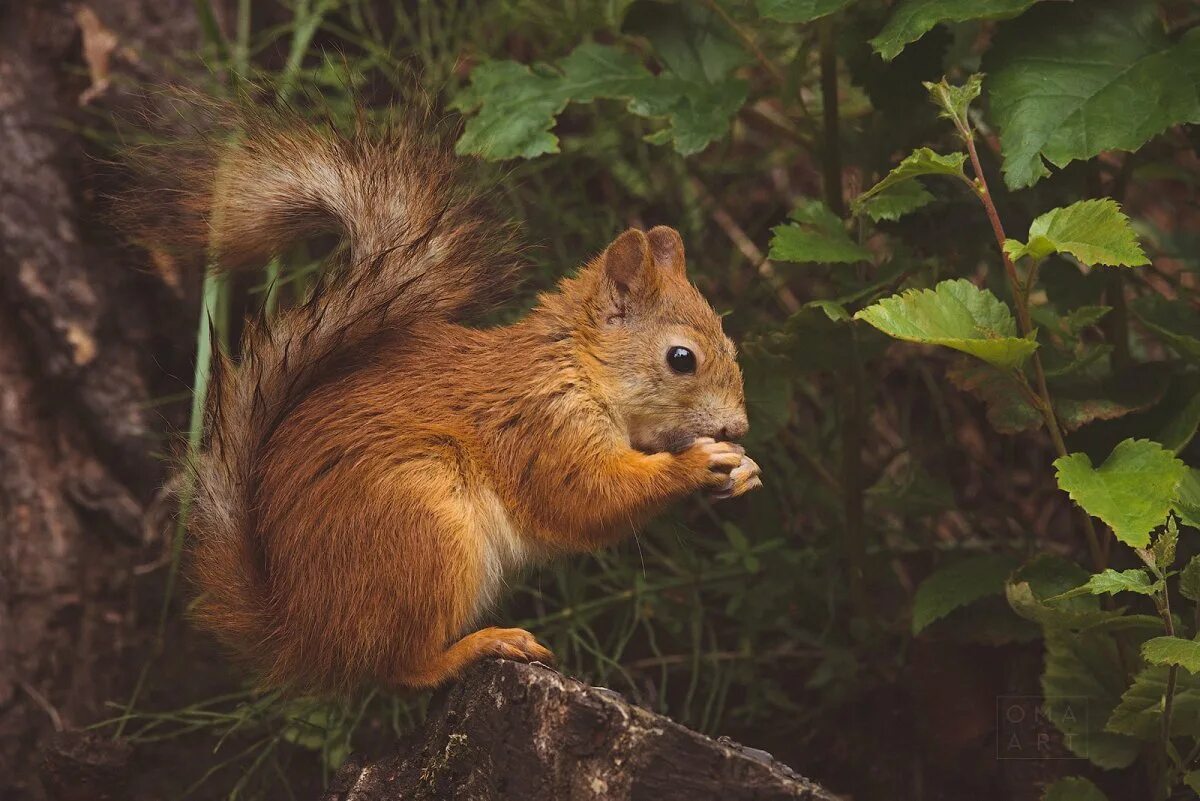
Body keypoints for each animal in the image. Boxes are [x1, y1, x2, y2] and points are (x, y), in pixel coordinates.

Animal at [157, 103, 758, 695]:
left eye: (730, 345)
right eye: (681, 358)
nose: (738, 428)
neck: (579, 367)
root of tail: (303, 632)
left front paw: (743, 471)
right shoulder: (542, 425)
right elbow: (586, 497)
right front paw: (695, 463)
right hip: (423, 527)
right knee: (402, 667)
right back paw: (480, 645)